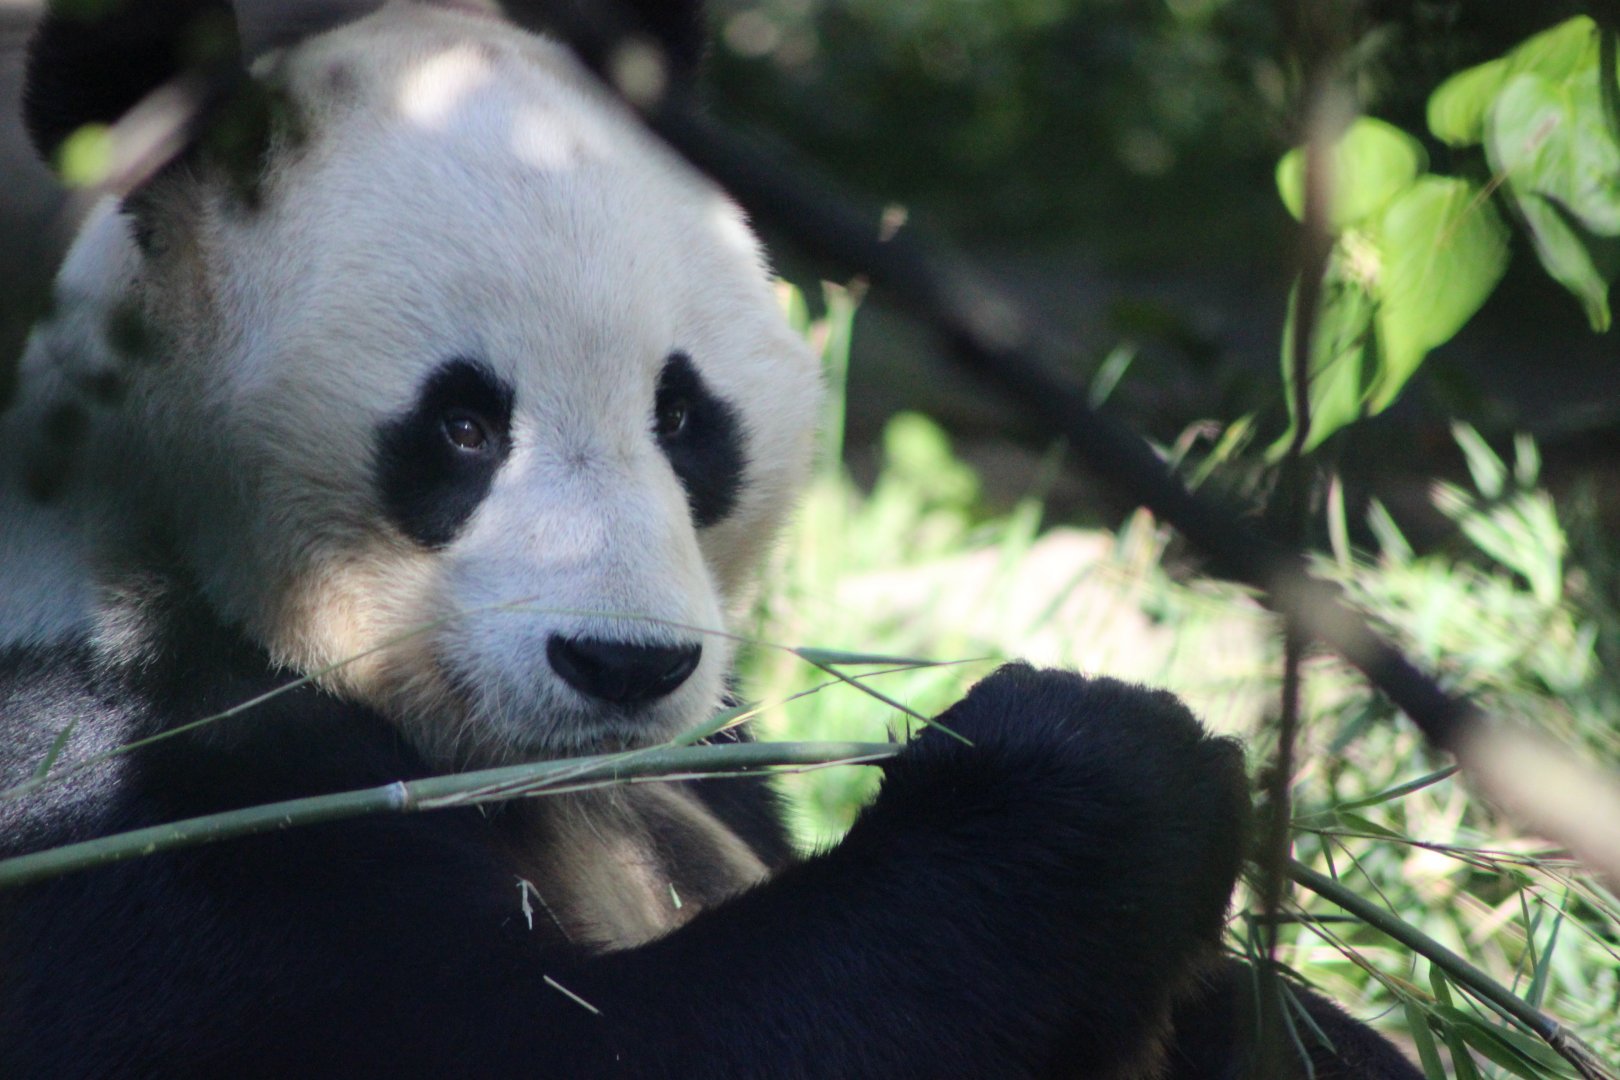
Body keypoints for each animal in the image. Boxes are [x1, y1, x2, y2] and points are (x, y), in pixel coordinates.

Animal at [0, 2, 1423, 1077]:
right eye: (461, 426)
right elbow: (552, 1042)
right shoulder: (120, 783)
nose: (623, 665)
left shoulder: (710, 766)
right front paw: (1097, 766)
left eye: (682, 416)